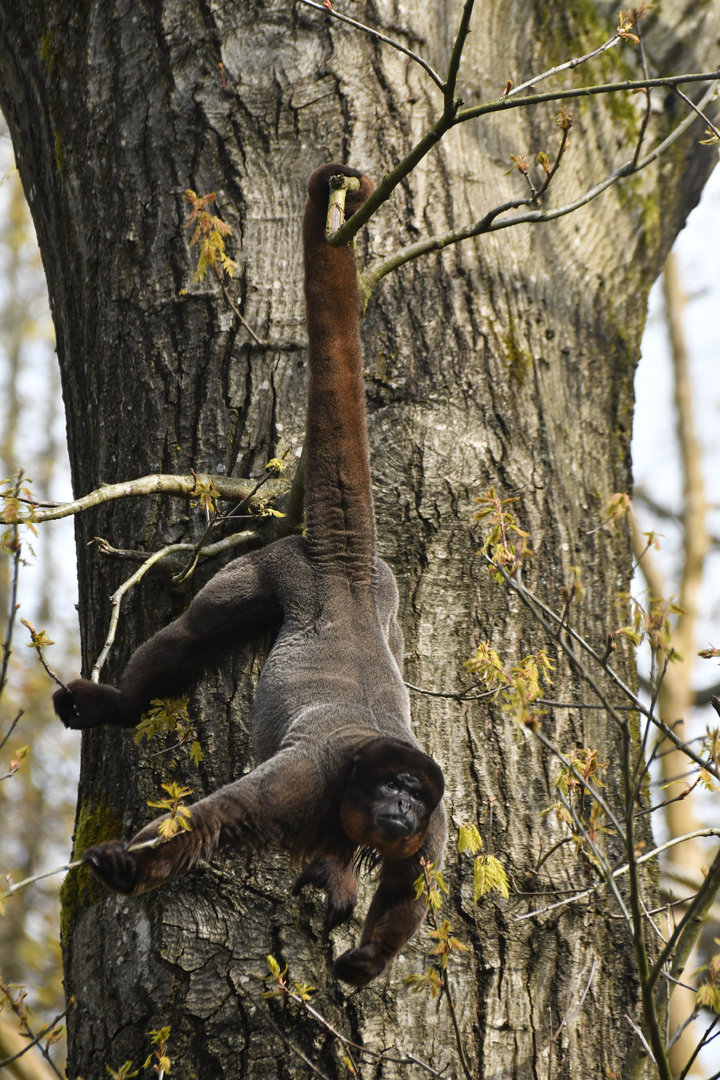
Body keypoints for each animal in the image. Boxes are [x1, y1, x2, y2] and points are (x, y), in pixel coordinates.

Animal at [53, 163, 446, 988]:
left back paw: (334, 877)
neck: (357, 784)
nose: (400, 805)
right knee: (195, 632)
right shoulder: (309, 778)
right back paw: (117, 704)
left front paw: (365, 960)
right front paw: (126, 866)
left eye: (414, 792)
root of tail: (347, 569)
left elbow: (409, 891)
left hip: (389, 599)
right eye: (390, 785)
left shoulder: (435, 827)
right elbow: (216, 818)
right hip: (273, 568)